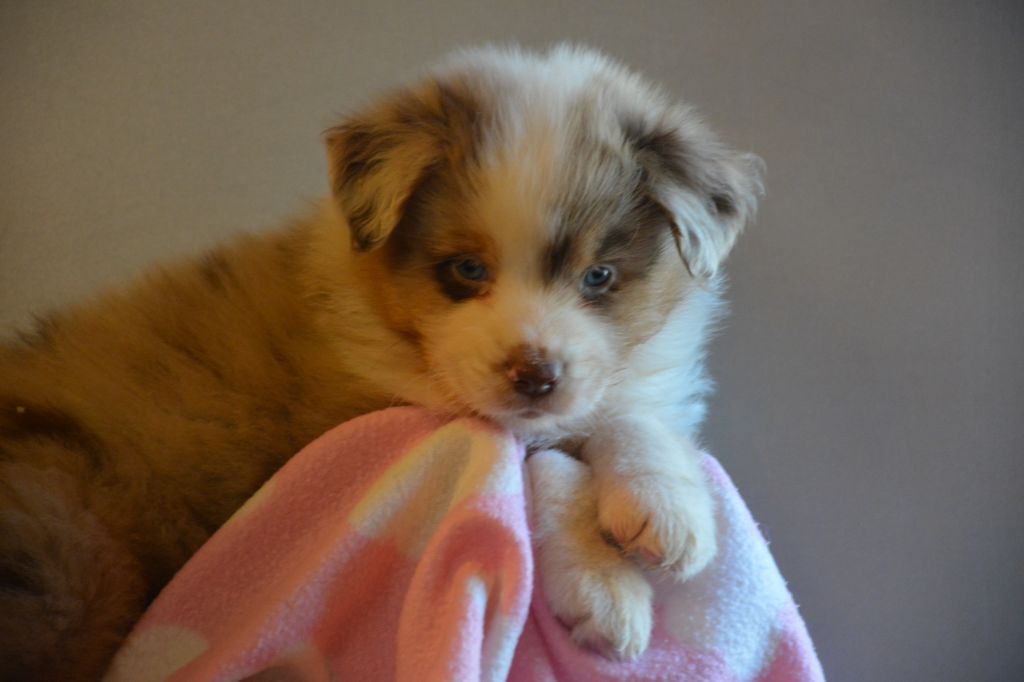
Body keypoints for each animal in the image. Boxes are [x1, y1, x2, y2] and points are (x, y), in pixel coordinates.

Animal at [0, 45, 762, 678]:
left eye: (599, 277)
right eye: (466, 270)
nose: (535, 378)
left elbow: (623, 416)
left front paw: (668, 509)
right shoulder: (368, 414)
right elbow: (533, 466)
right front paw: (606, 591)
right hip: (69, 563)